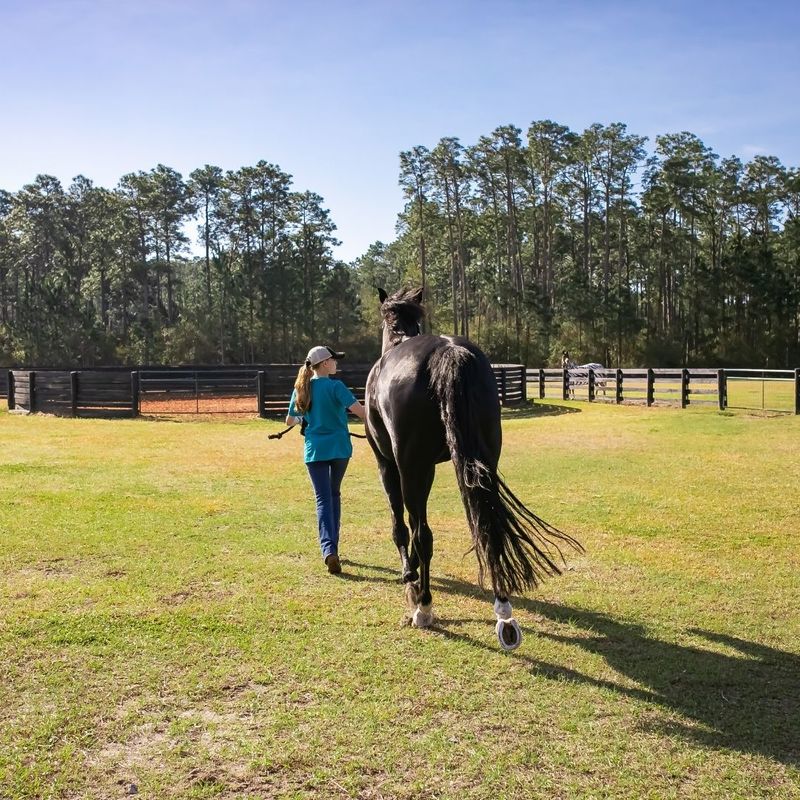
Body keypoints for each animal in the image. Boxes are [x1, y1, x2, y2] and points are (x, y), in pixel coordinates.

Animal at [365, 288, 583, 650]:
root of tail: (448, 353)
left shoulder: (388, 464)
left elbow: (401, 525)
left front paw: (410, 580)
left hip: (412, 466)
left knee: (423, 534)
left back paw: (424, 608)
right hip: (483, 463)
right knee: (487, 526)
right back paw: (504, 614)